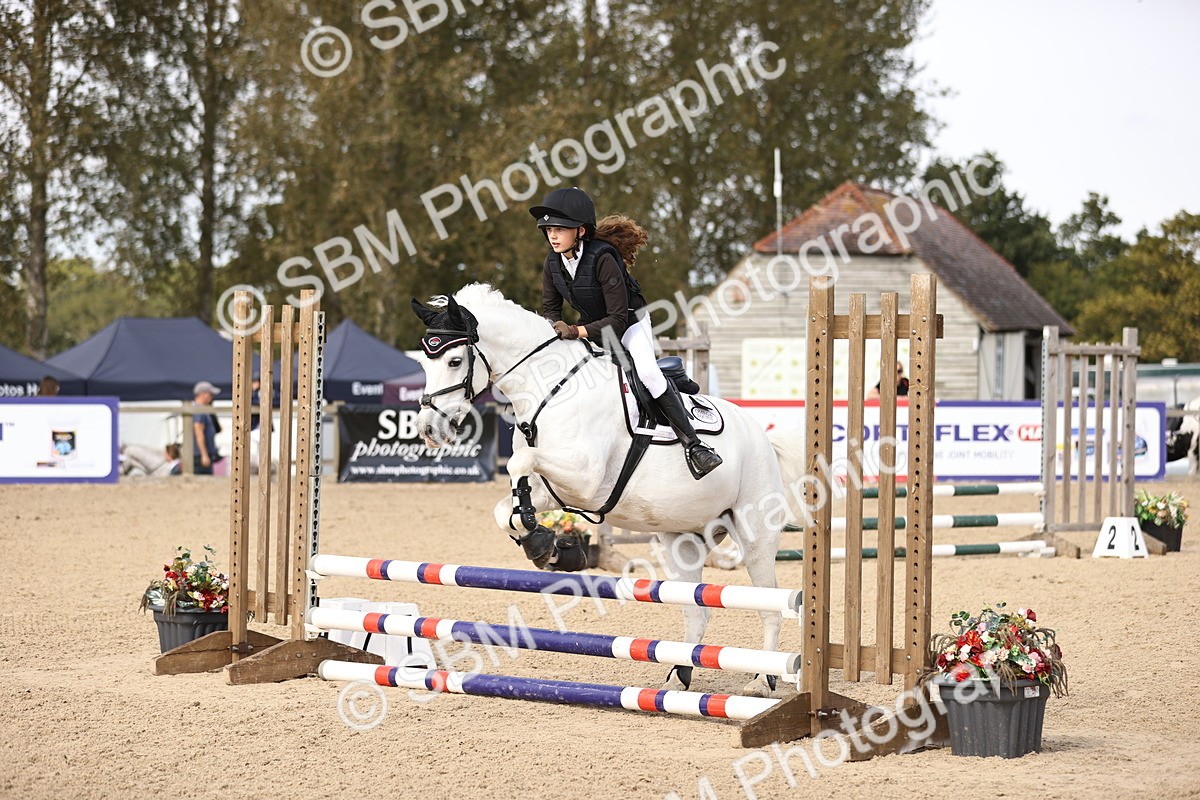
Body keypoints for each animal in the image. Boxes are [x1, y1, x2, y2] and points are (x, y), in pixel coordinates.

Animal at [410, 283, 808, 697]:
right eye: (424, 362)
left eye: (454, 361)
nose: (428, 430)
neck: (549, 389)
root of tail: (763, 437)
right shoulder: (557, 488)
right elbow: (507, 506)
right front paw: (544, 546)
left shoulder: (585, 479)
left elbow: (520, 463)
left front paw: (542, 539)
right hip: (683, 540)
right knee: (694, 609)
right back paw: (678, 676)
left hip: (754, 532)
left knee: (769, 604)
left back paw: (762, 680)